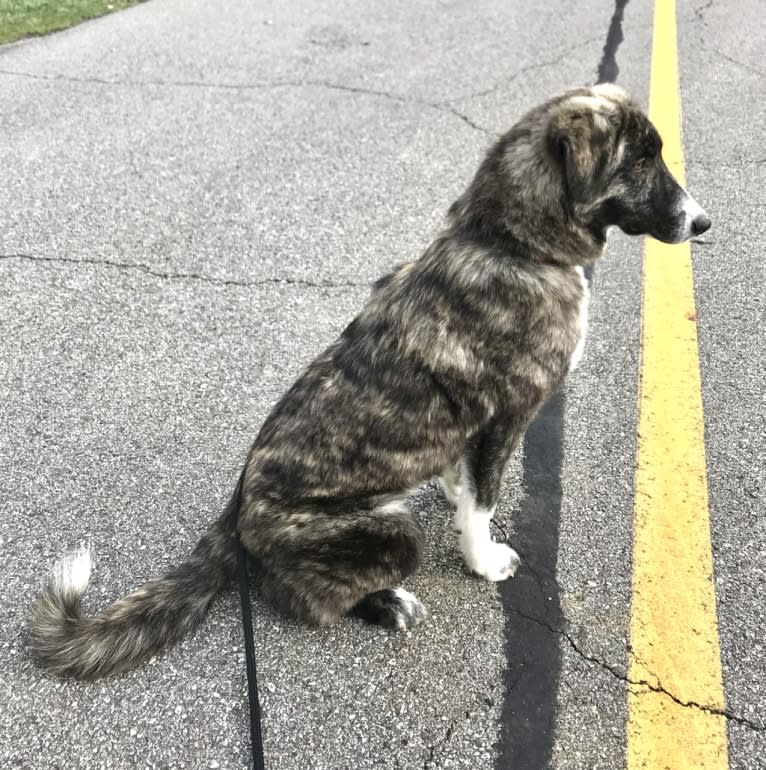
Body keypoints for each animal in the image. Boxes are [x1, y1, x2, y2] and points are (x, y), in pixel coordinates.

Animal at [30, 81, 712, 676]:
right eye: (642, 159)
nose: (703, 223)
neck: (508, 243)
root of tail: (234, 517)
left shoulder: (469, 431)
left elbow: (463, 483)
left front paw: (455, 496)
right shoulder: (506, 419)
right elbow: (485, 504)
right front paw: (483, 560)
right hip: (390, 532)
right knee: (299, 598)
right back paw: (386, 603)